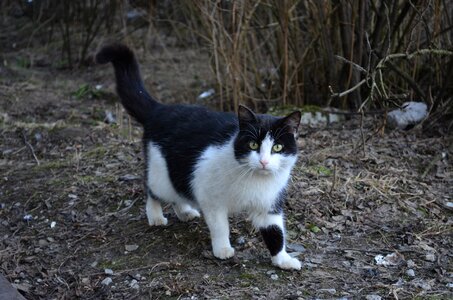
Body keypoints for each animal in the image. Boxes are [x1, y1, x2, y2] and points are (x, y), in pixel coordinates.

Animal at [95, 43, 300, 270]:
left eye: (277, 147)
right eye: (253, 144)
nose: (263, 161)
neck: (254, 180)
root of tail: (160, 109)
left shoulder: (269, 203)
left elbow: (275, 233)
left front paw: (283, 260)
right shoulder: (211, 197)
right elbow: (220, 226)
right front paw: (222, 249)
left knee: (178, 190)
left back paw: (185, 212)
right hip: (161, 173)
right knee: (151, 189)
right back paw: (156, 216)